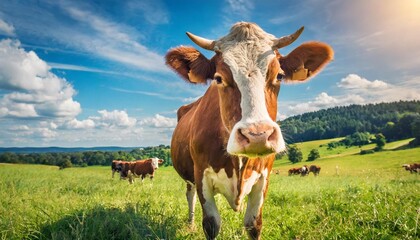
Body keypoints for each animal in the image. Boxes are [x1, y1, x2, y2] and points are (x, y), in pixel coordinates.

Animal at [166, 21, 334, 239]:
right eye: (218, 78)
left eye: (279, 75)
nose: (257, 136)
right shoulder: (201, 174)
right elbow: (211, 224)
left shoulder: (264, 177)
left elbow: (254, 225)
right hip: (189, 177)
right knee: (190, 195)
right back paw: (190, 223)